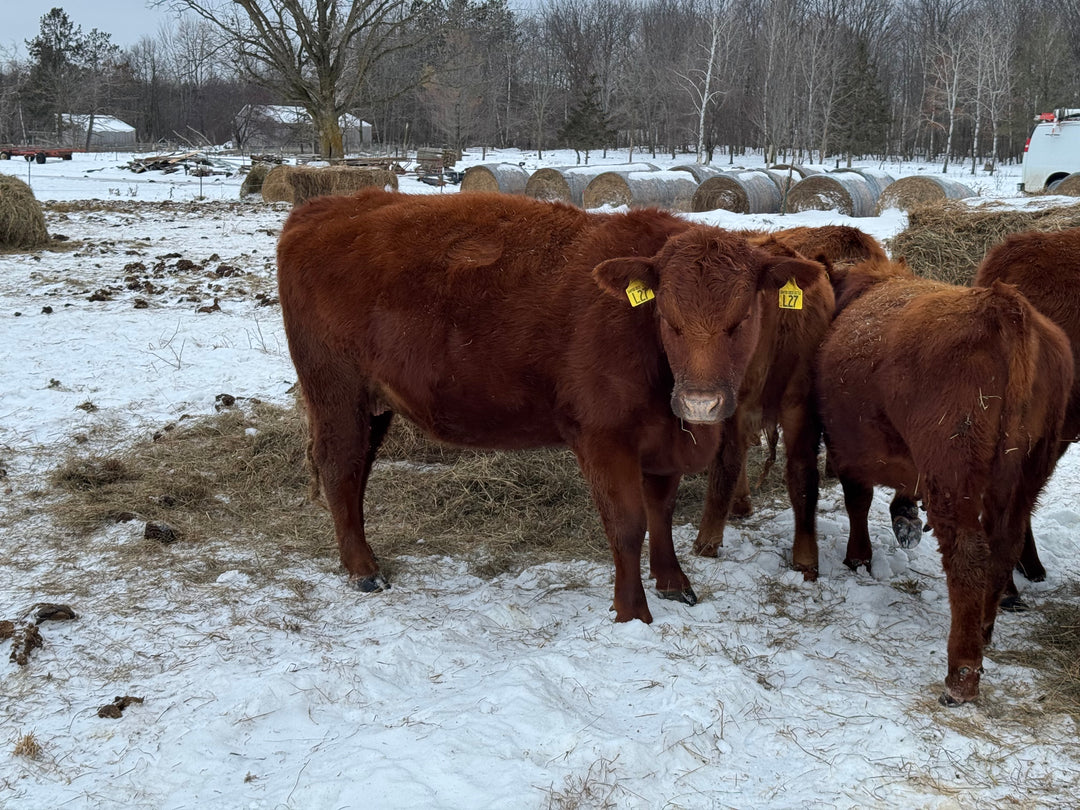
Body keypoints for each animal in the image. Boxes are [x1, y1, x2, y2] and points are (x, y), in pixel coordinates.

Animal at [276, 189, 824, 624]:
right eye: (668, 318)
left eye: (743, 316)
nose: (701, 402)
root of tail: (324, 207)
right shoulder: (602, 437)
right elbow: (628, 525)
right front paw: (632, 612)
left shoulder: (664, 442)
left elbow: (661, 513)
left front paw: (674, 582)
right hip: (336, 392)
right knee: (340, 467)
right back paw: (363, 569)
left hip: (372, 404)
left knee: (356, 472)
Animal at [816, 255, 1072, 704]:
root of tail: (1002, 307)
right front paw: (903, 518)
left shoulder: (847, 447)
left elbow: (857, 501)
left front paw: (859, 557)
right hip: (1029, 471)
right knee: (1005, 544)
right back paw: (985, 629)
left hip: (953, 467)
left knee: (968, 554)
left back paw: (961, 674)